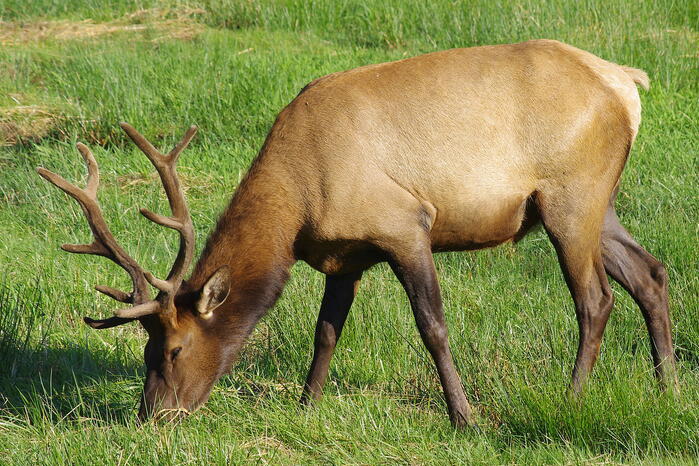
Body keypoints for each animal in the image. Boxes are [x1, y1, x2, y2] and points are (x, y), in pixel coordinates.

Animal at [38, 39, 677, 427]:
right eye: (144, 349)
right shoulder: (343, 255)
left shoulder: (405, 224)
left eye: (172, 348)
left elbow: (432, 327)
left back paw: (571, 398)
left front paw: (464, 416)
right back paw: (668, 386)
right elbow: (326, 332)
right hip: (592, 203)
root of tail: (626, 82)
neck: (300, 203)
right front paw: (305, 405)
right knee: (650, 272)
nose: (152, 414)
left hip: (571, 196)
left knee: (596, 298)